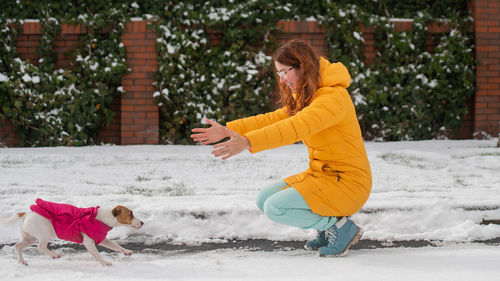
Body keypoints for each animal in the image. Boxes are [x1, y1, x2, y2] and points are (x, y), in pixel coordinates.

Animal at [0, 197, 145, 264]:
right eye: (131, 214)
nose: (143, 222)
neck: (101, 217)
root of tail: (27, 214)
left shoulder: (102, 239)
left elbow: (116, 245)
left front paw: (126, 251)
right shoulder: (89, 242)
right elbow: (97, 254)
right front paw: (104, 263)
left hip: (30, 237)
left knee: (18, 246)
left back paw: (22, 261)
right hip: (44, 234)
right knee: (40, 248)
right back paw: (55, 254)